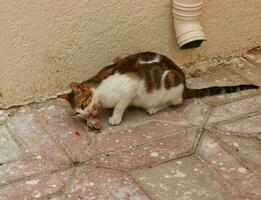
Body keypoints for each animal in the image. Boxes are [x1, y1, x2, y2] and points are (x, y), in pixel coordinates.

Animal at [57, 51, 258, 126]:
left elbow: (120, 105)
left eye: (82, 105)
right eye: (77, 113)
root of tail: (184, 86)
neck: (99, 90)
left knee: (175, 102)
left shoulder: (129, 87)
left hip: (169, 84)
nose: (84, 115)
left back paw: (154, 108)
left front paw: (115, 117)